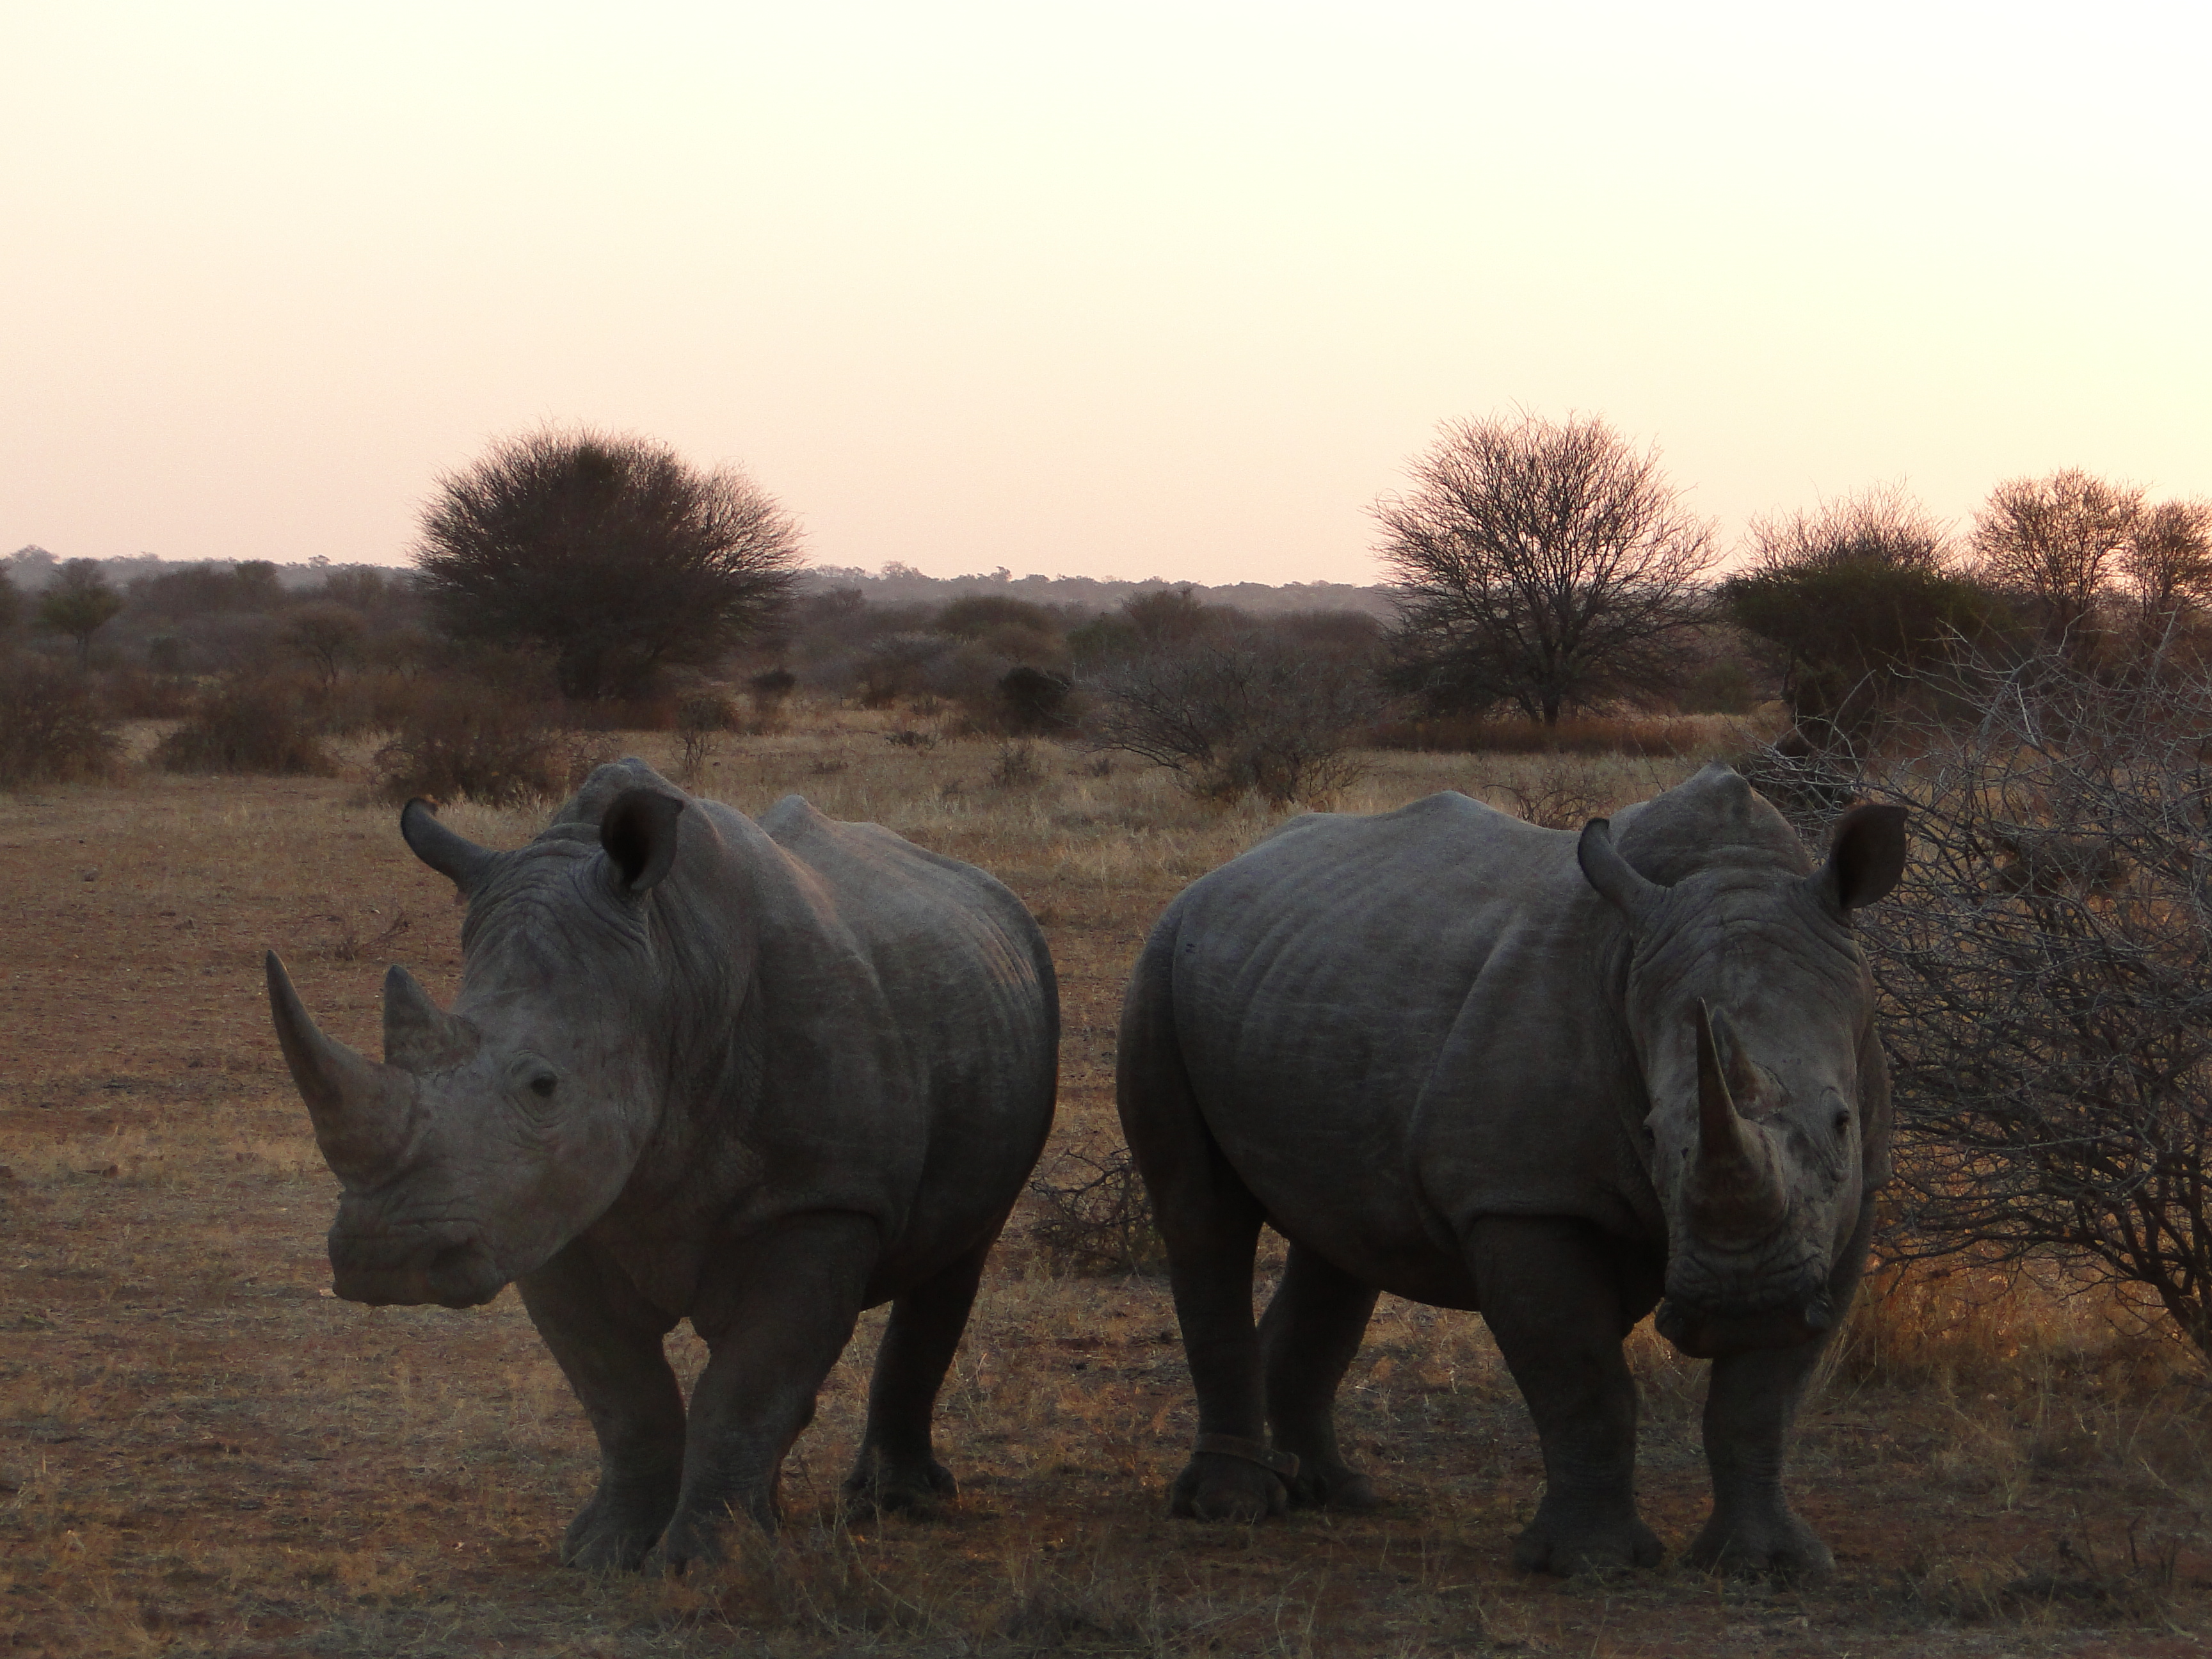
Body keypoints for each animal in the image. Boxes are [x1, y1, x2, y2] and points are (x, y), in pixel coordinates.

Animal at [264, 759, 1057, 1569]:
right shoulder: (544, 1210)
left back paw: (898, 1505)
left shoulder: (822, 1199)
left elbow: (747, 1384)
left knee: (959, 1255)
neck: (669, 966)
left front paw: (710, 1562)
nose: (386, 1262)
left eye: (543, 1086)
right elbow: (621, 1388)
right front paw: (603, 1551)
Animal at [1118, 764, 1904, 1576]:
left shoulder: (1854, 1197)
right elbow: (1581, 1378)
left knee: (1339, 1238)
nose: (1740, 1301)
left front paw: (1771, 1566)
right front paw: (1589, 1564)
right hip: (1161, 963)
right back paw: (1232, 1507)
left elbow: (1762, 1397)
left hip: (1304, 985)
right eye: (1653, 1135)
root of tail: (1219, 874)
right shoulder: (1521, 1195)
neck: (1729, 873)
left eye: (1841, 1124)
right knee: (1203, 1218)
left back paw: (1338, 1494)